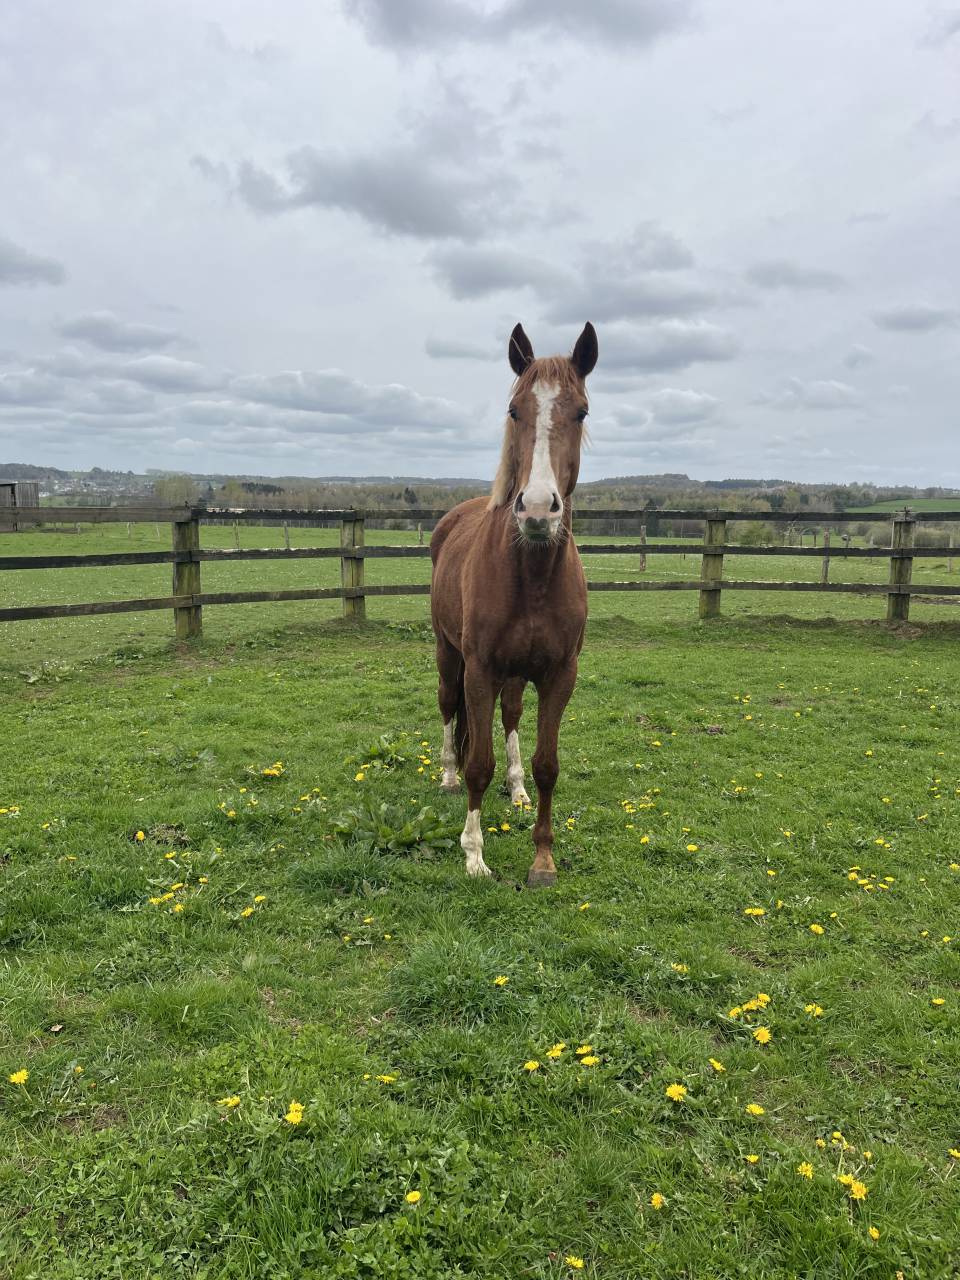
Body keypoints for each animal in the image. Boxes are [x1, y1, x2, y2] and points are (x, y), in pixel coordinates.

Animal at [430, 321, 598, 887]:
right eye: (514, 410)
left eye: (581, 411)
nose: (538, 510)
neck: (532, 576)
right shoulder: (480, 669)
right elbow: (477, 761)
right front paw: (474, 854)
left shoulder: (559, 674)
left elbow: (549, 765)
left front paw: (542, 859)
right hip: (448, 655)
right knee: (448, 708)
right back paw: (447, 776)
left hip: (518, 674)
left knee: (510, 717)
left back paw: (517, 785)